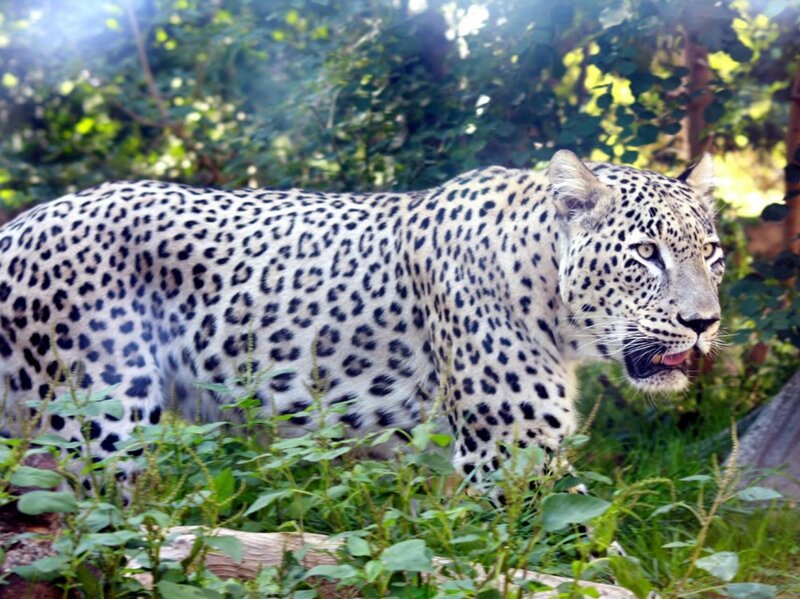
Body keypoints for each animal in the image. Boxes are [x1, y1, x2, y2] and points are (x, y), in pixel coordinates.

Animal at [0, 150, 724, 492]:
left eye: (711, 252)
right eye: (646, 253)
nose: (704, 322)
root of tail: (20, 223)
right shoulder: (509, 451)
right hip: (98, 428)